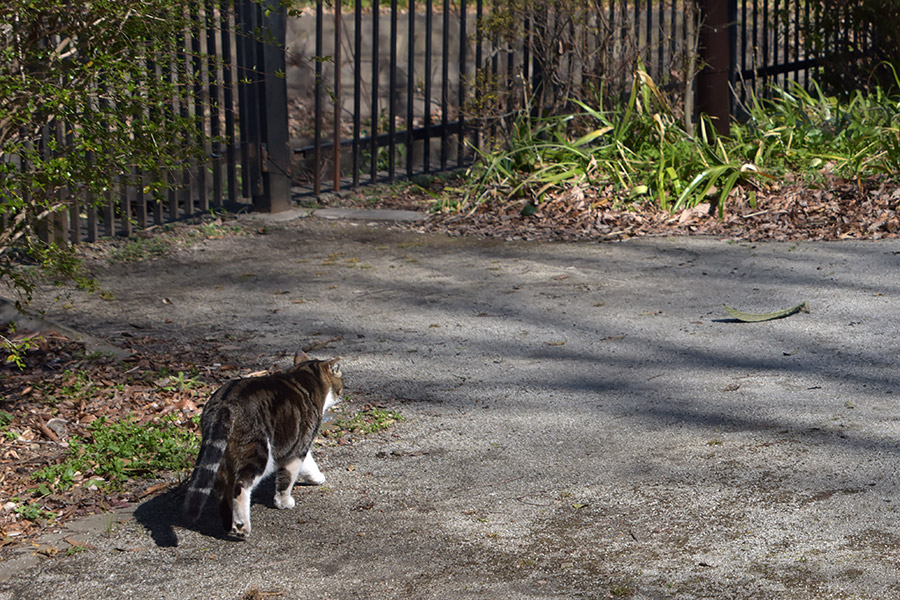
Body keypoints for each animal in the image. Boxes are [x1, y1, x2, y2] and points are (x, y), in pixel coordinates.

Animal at [182, 350, 342, 536]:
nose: (340, 395)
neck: (305, 377)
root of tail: (224, 404)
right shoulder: (298, 447)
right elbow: (288, 478)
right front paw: (284, 502)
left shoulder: (296, 442)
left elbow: (308, 464)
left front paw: (316, 477)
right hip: (259, 452)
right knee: (240, 487)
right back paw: (241, 526)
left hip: (224, 457)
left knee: (221, 489)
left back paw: (229, 525)